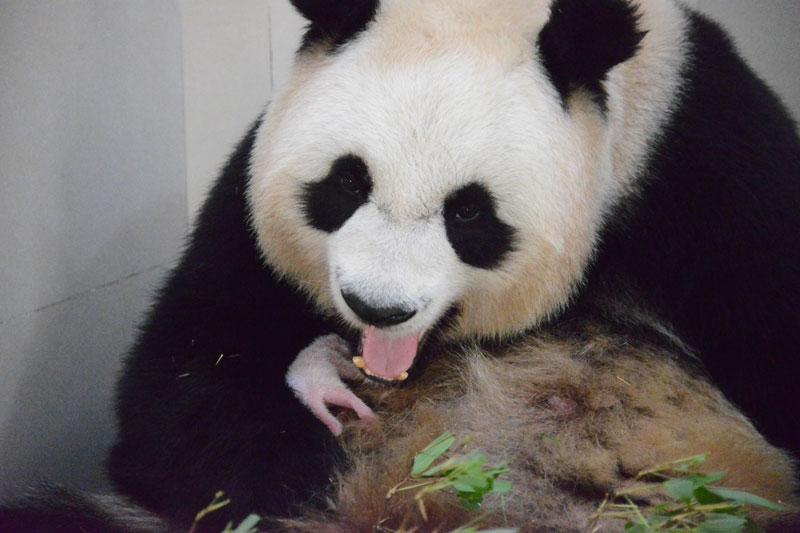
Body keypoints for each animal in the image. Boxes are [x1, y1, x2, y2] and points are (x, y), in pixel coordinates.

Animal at [43, 0, 800, 528]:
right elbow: (180, 394)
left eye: (469, 214)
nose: (377, 307)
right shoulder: (247, 215)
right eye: (347, 182)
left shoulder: (706, 172)